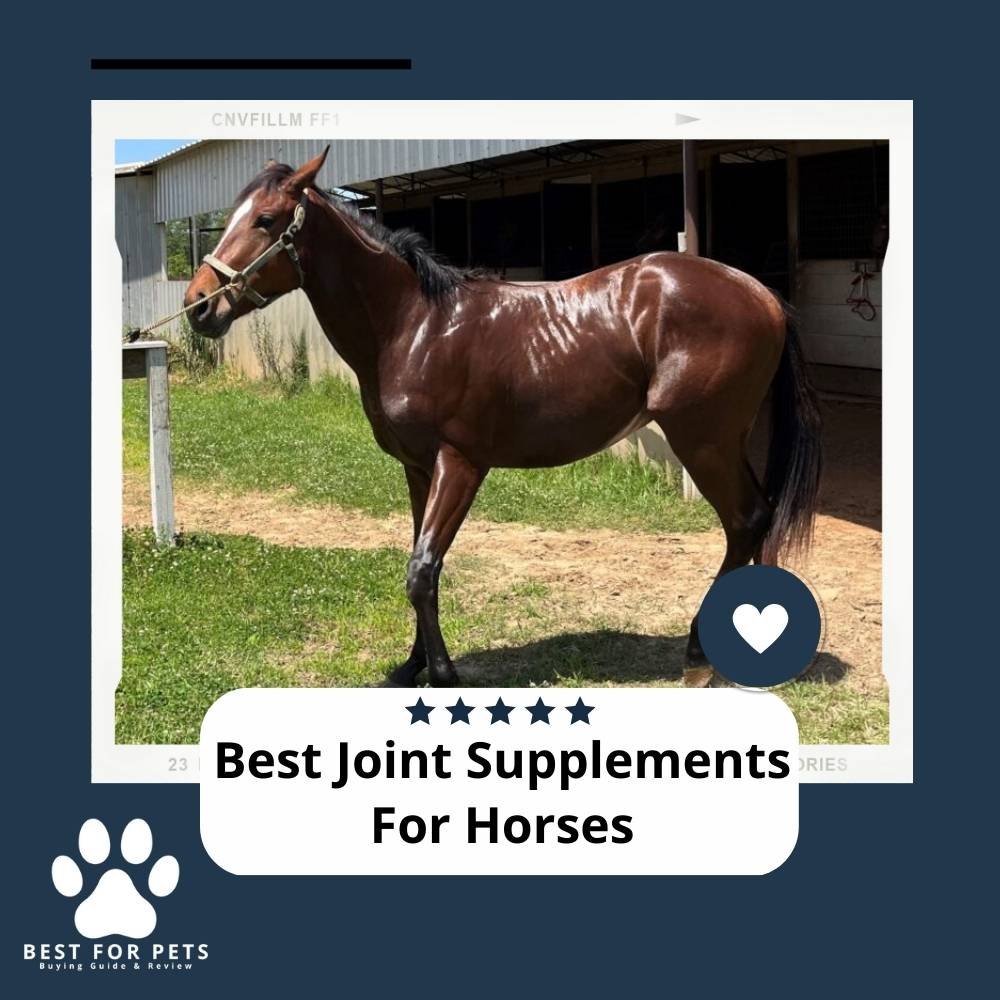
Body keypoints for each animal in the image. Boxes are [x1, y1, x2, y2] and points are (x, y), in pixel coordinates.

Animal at [184, 147, 822, 689]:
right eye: (229, 218)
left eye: (266, 220)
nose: (197, 306)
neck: (415, 325)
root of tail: (761, 293)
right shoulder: (418, 468)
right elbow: (418, 561)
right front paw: (412, 666)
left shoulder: (461, 465)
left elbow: (422, 570)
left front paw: (443, 675)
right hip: (723, 441)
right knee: (755, 520)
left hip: (703, 441)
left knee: (745, 520)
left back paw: (697, 656)